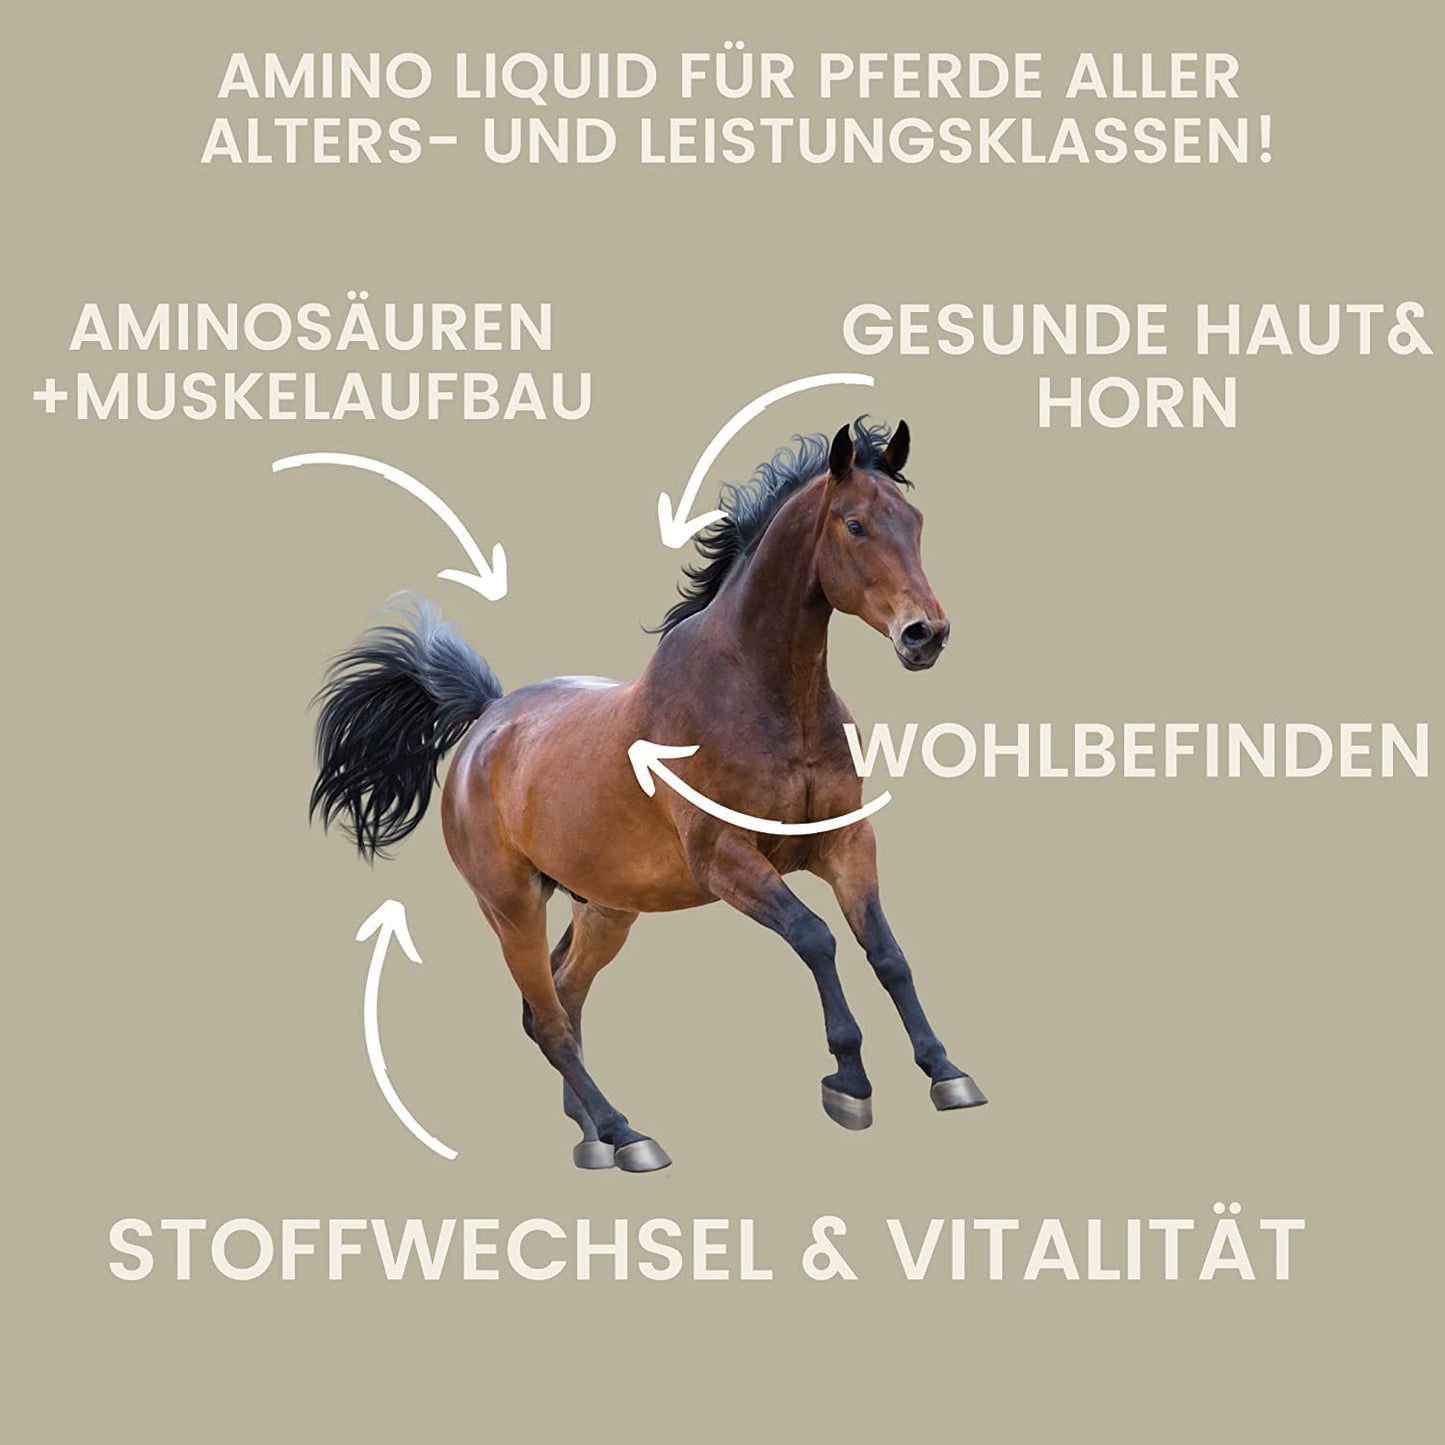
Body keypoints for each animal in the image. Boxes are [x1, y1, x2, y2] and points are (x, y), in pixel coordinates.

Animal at [311, 418, 986, 1172]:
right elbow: (816, 938)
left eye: (915, 522)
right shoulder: (725, 858)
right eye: (856, 524)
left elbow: (886, 951)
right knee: (548, 1019)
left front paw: (946, 1071)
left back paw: (593, 1134)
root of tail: (486, 720)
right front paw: (849, 1079)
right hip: (511, 905)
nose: (925, 634)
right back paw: (626, 1133)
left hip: (606, 909)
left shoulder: (844, 841)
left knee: (562, 998)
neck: (768, 697)